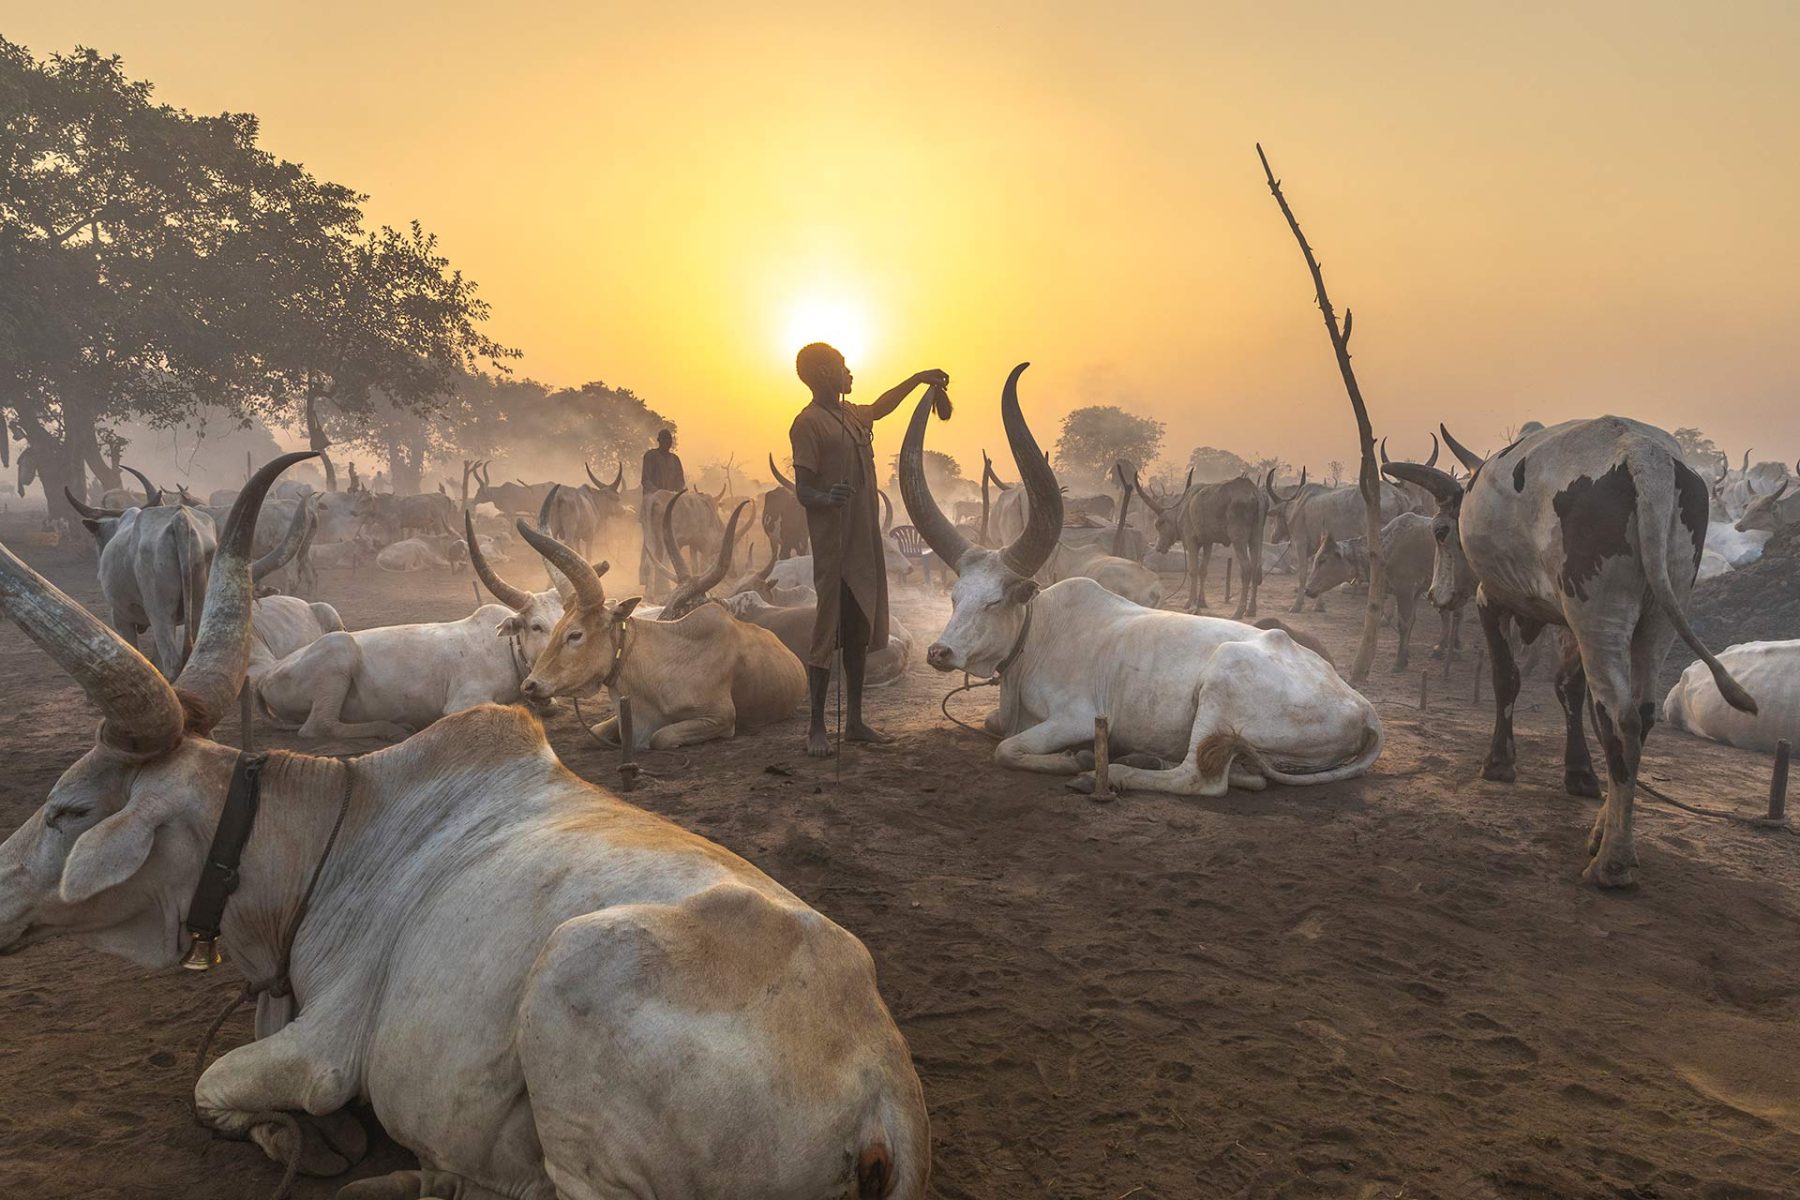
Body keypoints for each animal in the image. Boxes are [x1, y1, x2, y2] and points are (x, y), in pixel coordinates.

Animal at [1133, 469, 1265, 618]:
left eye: (1158, 524)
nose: (1158, 547)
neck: (1182, 510)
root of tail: (1253, 490)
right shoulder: (1208, 542)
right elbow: (1203, 570)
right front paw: (1201, 602)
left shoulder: (1191, 541)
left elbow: (1193, 570)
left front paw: (1191, 603)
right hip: (1256, 537)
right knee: (1256, 567)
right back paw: (1251, 609)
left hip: (1238, 538)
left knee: (1246, 568)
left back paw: (1239, 611)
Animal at [1383, 419, 1757, 887]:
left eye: (1439, 532)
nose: (1436, 595)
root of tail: (1644, 454)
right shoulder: (1567, 621)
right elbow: (1569, 689)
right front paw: (1579, 772)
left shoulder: (1494, 599)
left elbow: (1507, 680)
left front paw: (1498, 763)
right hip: (1655, 619)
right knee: (1641, 715)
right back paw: (1604, 833)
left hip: (1598, 613)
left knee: (1620, 717)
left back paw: (1612, 862)